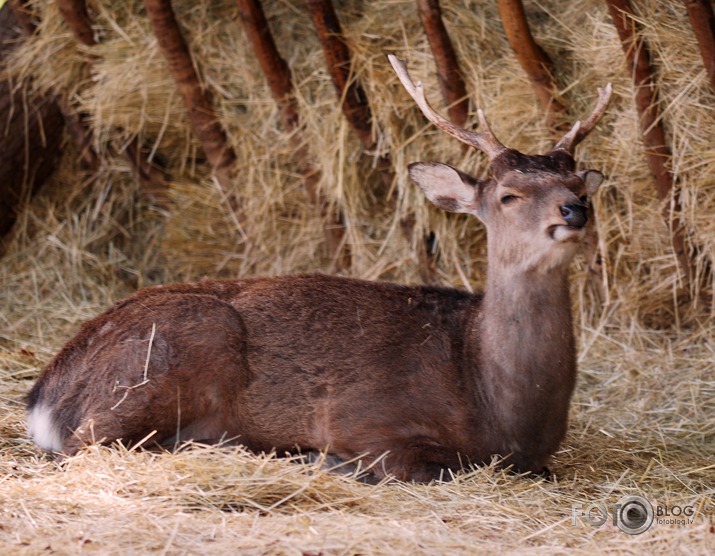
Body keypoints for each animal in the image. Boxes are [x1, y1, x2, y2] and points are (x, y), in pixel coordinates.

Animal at [25, 54, 612, 484]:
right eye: (510, 195)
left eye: (580, 187)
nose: (573, 211)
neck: (494, 403)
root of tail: (42, 396)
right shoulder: (364, 418)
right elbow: (428, 467)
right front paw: (326, 460)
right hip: (165, 357)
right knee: (87, 446)